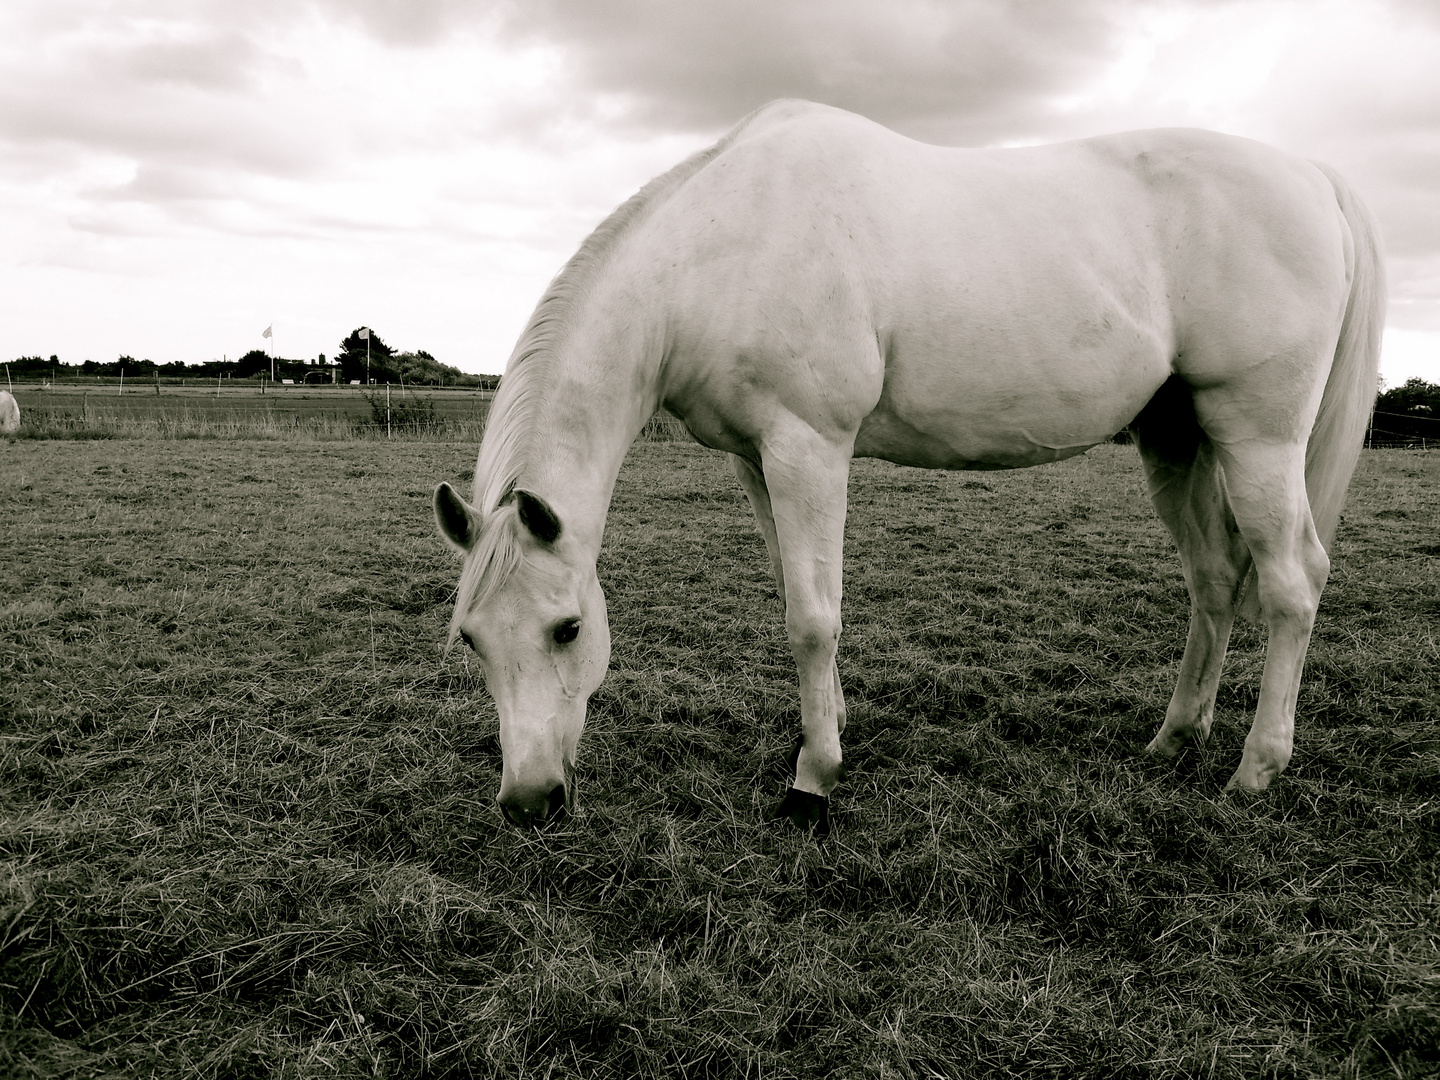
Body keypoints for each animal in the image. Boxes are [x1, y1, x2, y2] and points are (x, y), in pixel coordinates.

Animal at [429, 99, 1382, 829]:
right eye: (471, 638)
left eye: (568, 630)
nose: (530, 801)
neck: (722, 247)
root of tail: (1311, 177)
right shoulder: (757, 462)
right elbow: (796, 596)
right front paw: (826, 731)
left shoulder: (808, 448)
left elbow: (813, 618)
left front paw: (813, 781)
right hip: (1177, 438)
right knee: (1216, 580)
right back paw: (1175, 739)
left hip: (1256, 438)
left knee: (1292, 584)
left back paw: (1256, 770)